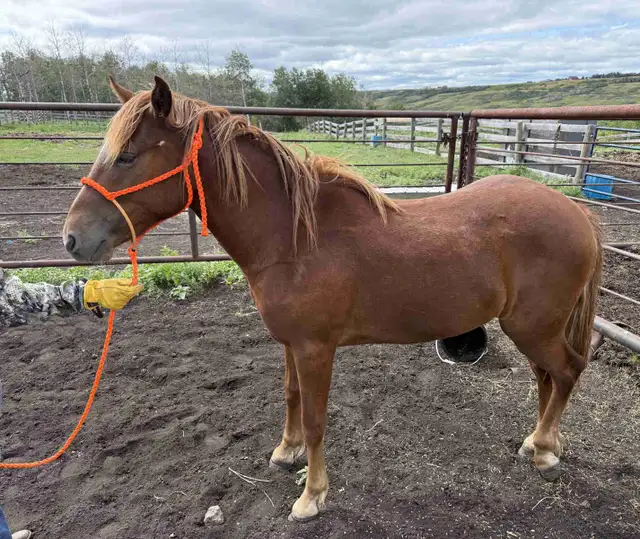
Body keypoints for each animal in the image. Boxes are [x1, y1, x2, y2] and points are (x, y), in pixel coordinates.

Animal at [63, 76, 603, 522]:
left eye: (128, 156)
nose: (71, 239)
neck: (296, 238)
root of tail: (576, 212)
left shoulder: (315, 350)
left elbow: (317, 418)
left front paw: (312, 496)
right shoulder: (290, 345)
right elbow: (291, 397)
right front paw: (287, 454)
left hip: (533, 326)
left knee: (568, 371)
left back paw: (546, 451)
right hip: (533, 327)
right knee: (547, 377)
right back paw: (536, 442)